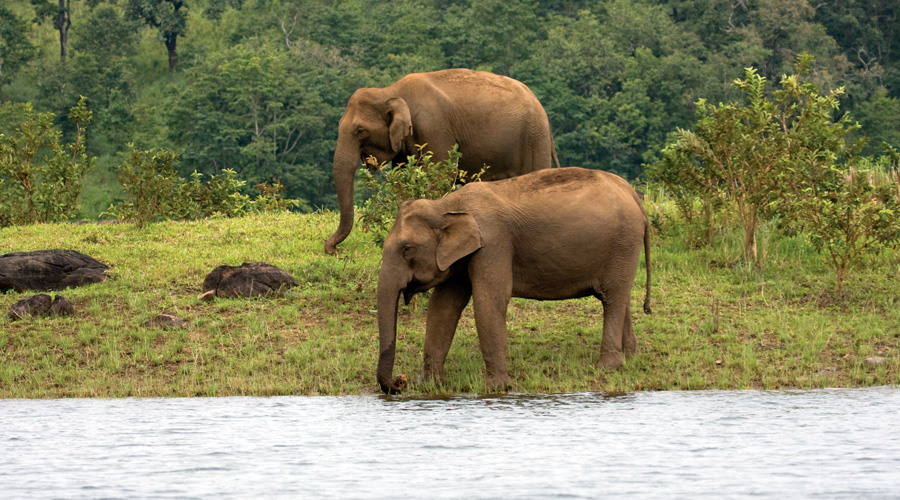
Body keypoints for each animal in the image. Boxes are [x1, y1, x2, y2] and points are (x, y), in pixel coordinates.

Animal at [324, 68, 564, 254]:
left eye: (360, 131)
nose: (332, 249)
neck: (391, 91)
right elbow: (402, 179)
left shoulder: (434, 128)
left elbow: (441, 175)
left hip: (534, 139)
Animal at [376, 168, 652, 394]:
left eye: (407, 249)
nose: (400, 381)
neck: (446, 204)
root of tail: (633, 195)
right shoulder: (462, 256)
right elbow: (443, 307)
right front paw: (431, 385)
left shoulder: (494, 243)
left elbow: (490, 301)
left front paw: (497, 387)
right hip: (623, 247)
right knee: (620, 297)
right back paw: (630, 357)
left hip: (623, 242)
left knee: (612, 297)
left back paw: (608, 367)